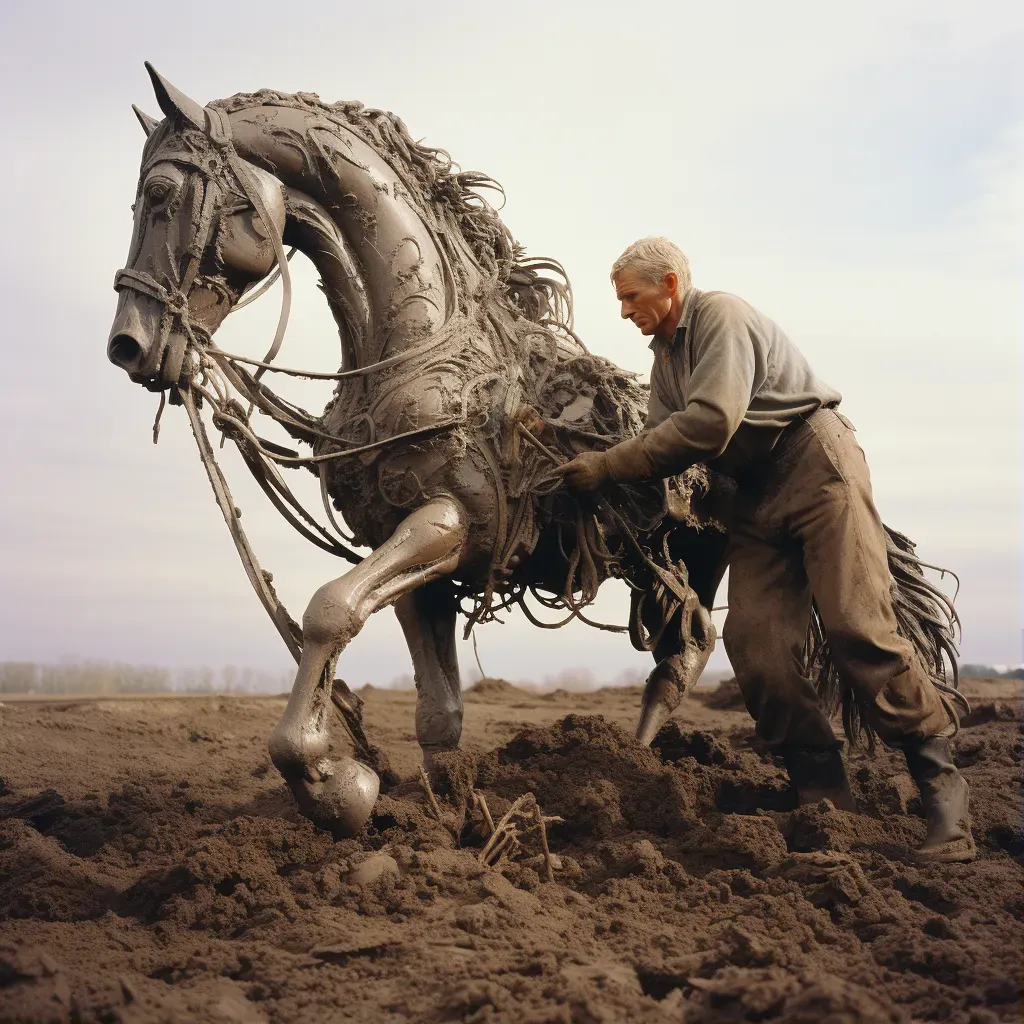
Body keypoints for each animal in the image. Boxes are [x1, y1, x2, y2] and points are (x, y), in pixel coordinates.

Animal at [105, 68, 958, 839]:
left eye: (162, 194)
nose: (130, 346)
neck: (422, 353)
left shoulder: (453, 524)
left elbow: (327, 610)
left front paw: (329, 782)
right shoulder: (412, 559)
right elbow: (437, 711)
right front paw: (447, 818)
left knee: (718, 650)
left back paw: (650, 776)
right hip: (684, 566)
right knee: (692, 650)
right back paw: (644, 765)